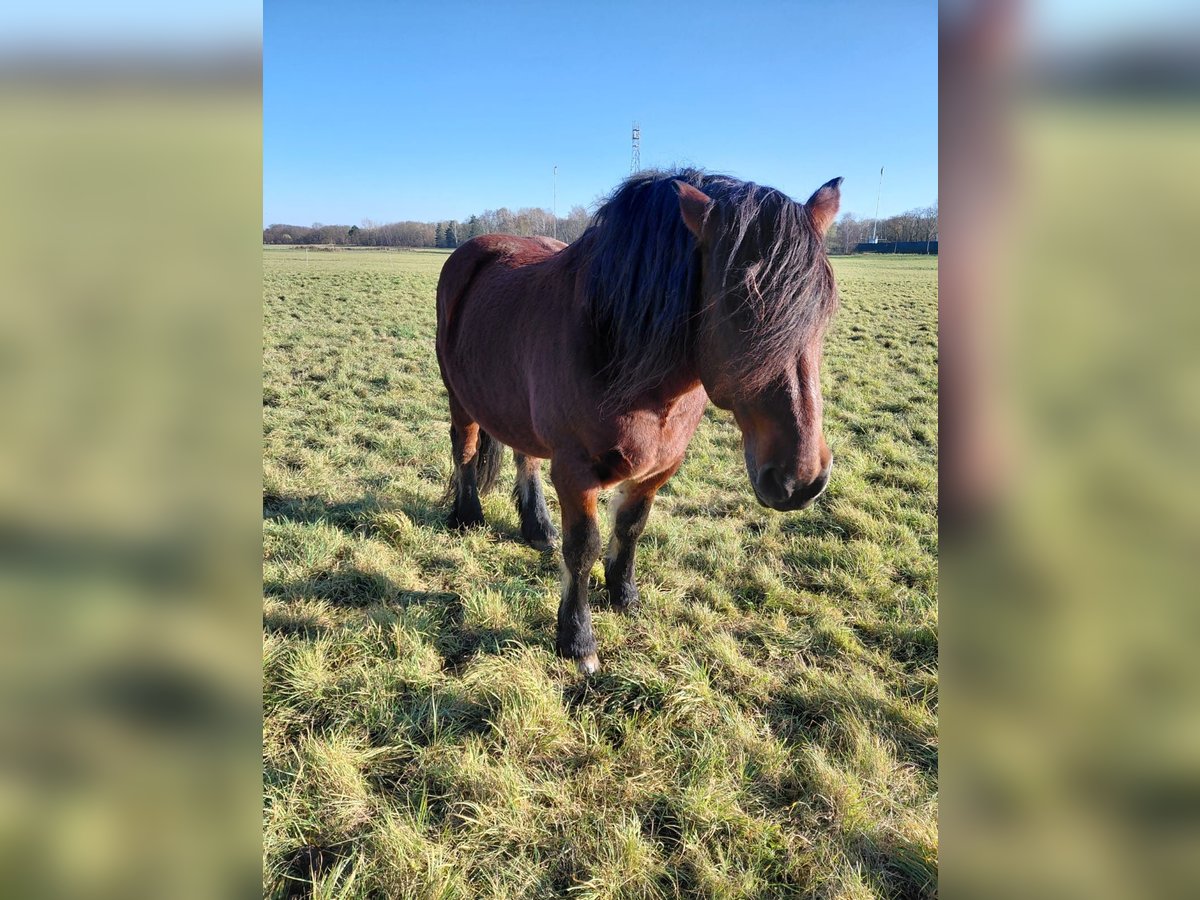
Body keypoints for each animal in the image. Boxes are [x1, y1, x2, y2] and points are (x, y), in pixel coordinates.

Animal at [435, 168, 841, 674]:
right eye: (737, 304)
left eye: (823, 308)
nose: (800, 480)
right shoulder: (575, 472)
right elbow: (583, 548)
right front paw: (578, 641)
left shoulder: (657, 468)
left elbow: (630, 528)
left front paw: (623, 595)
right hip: (459, 396)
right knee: (466, 448)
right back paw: (468, 516)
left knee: (524, 455)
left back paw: (538, 528)